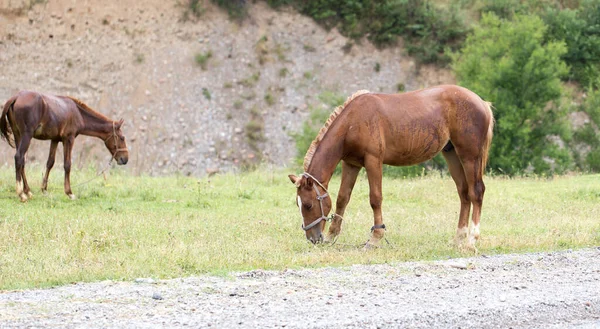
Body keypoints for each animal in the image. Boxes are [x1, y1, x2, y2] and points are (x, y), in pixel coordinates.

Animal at [1, 91, 129, 201]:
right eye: (122, 138)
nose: (125, 159)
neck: (78, 113)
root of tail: (16, 97)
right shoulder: (69, 139)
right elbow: (67, 165)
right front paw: (69, 193)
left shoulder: (55, 140)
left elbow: (50, 163)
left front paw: (44, 189)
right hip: (26, 136)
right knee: (19, 157)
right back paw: (21, 194)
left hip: (18, 135)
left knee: (22, 161)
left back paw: (27, 191)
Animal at [290, 84, 492, 249]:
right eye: (298, 204)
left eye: (308, 205)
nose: (313, 238)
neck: (353, 123)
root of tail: (482, 103)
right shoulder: (351, 164)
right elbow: (342, 198)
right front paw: (332, 235)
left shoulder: (373, 161)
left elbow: (375, 198)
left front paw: (375, 238)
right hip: (452, 155)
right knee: (464, 193)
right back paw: (458, 238)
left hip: (469, 156)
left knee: (476, 192)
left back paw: (471, 240)